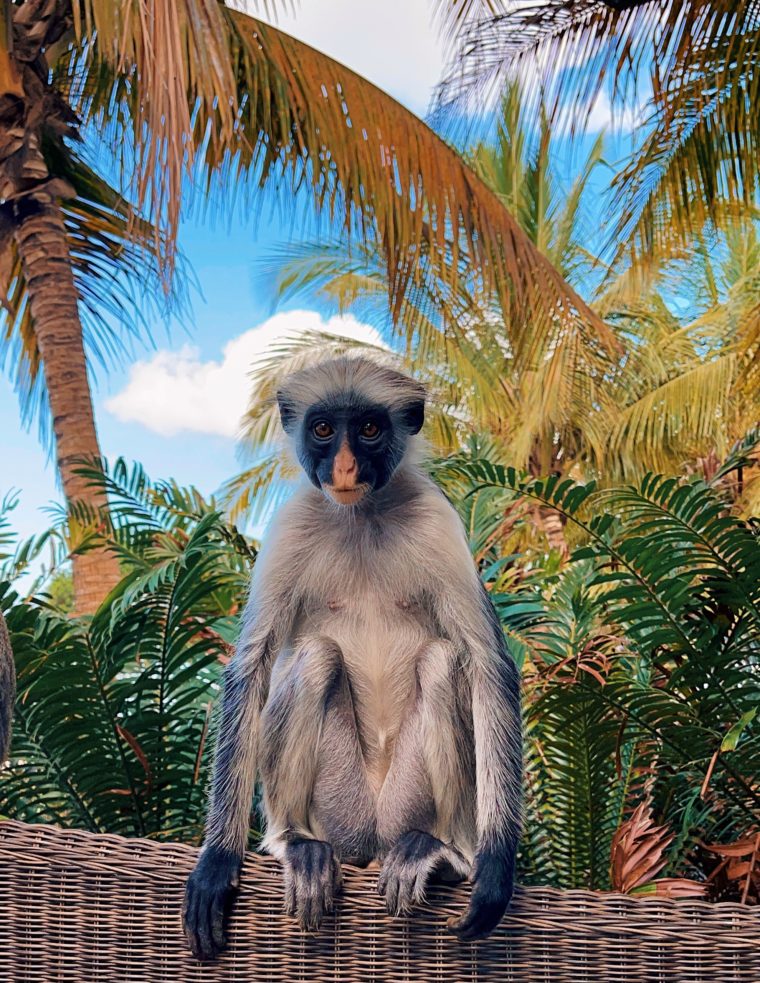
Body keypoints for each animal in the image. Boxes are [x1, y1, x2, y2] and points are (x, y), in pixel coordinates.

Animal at [183, 356, 524, 960]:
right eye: (323, 429)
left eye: (368, 429)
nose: (342, 466)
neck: (361, 515)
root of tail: (371, 838)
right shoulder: (294, 522)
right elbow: (252, 665)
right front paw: (218, 861)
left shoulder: (435, 517)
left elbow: (489, 664)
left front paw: (494, 868)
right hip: (337, 807)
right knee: (317, 655)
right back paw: (296, 843)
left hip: (406, 804)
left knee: (442, 661)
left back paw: (440, 853)